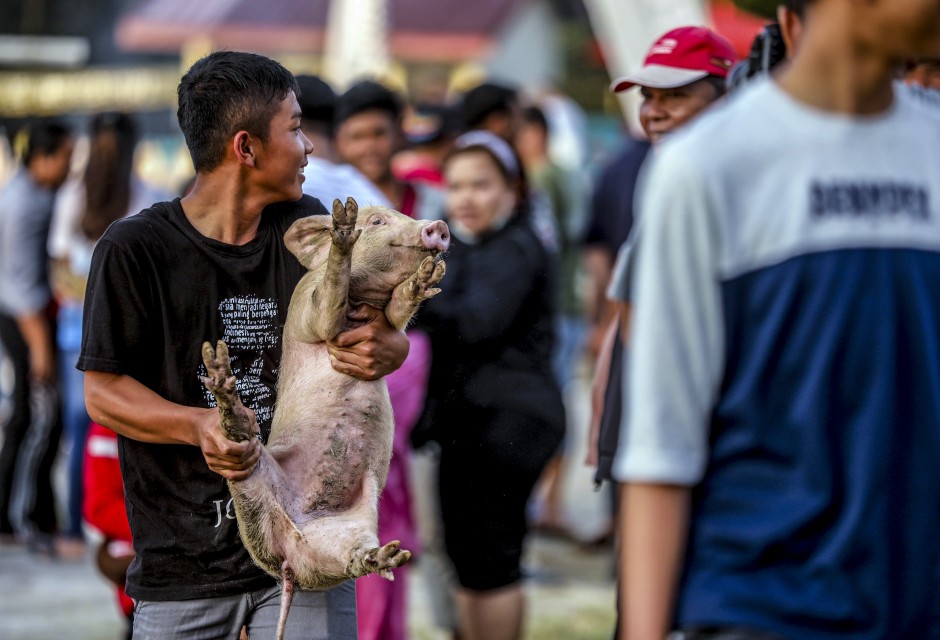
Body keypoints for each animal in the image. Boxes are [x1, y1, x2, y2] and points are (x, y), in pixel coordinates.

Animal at [199, 198, 448, 636]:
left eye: (402, 214)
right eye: (377, 220)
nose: (436, 225)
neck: (363, 300)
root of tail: (289, 562)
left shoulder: (388, 321)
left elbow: (400, 308)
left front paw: (427, 278)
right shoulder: (308, 308)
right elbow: (327, 305)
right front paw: (343, 225)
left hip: (347, 531)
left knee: (352, 557)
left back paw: (387, 557)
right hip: (250, 493)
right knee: (242, 444)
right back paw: (222, 381)